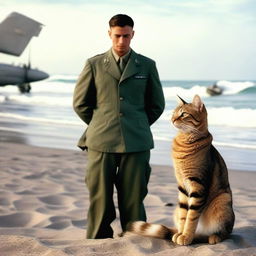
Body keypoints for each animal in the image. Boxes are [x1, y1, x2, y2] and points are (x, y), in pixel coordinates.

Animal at [127, 94, 235, 246]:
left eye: (183, 114)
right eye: (173, 113)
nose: (172, 119)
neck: (184, 139)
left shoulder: (198, 186)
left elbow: (191, 217)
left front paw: (186, 236)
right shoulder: (183, 188)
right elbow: (185, 216)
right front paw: (181, 234)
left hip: (223, 200)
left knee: (226, 232)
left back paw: (214, 237)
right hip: (178, 209)